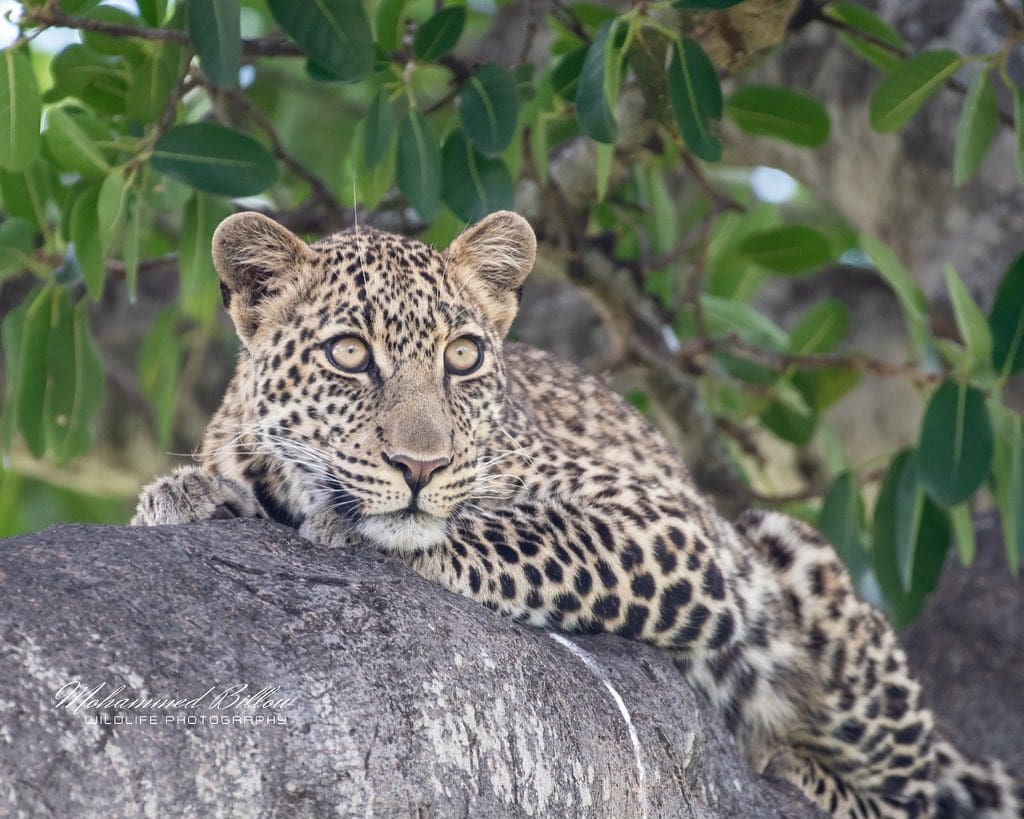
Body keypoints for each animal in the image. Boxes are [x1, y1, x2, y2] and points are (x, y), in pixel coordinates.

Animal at [134, 210, 1022, 819]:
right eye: (349, 353)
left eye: (462, 356)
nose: (422, 464)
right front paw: (188, 494)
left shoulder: (672, 523)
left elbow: (518, 531)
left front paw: (355, 526)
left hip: (797, 564)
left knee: (908, 795)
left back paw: (792, 764)